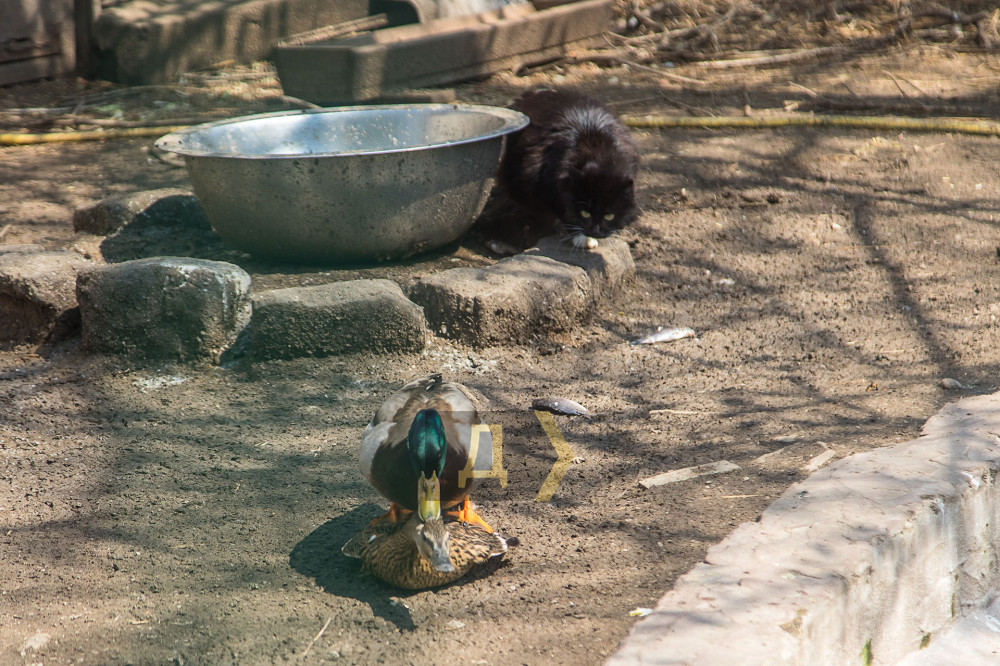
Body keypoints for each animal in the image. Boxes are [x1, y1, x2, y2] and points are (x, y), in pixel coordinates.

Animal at [492, 89, 640, 250]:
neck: (598, 153)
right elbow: (564, 210)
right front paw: (581, 238)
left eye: (609, 215)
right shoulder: (547, 183)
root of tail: (532, 94)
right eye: (585, 213)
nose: (595, 231)